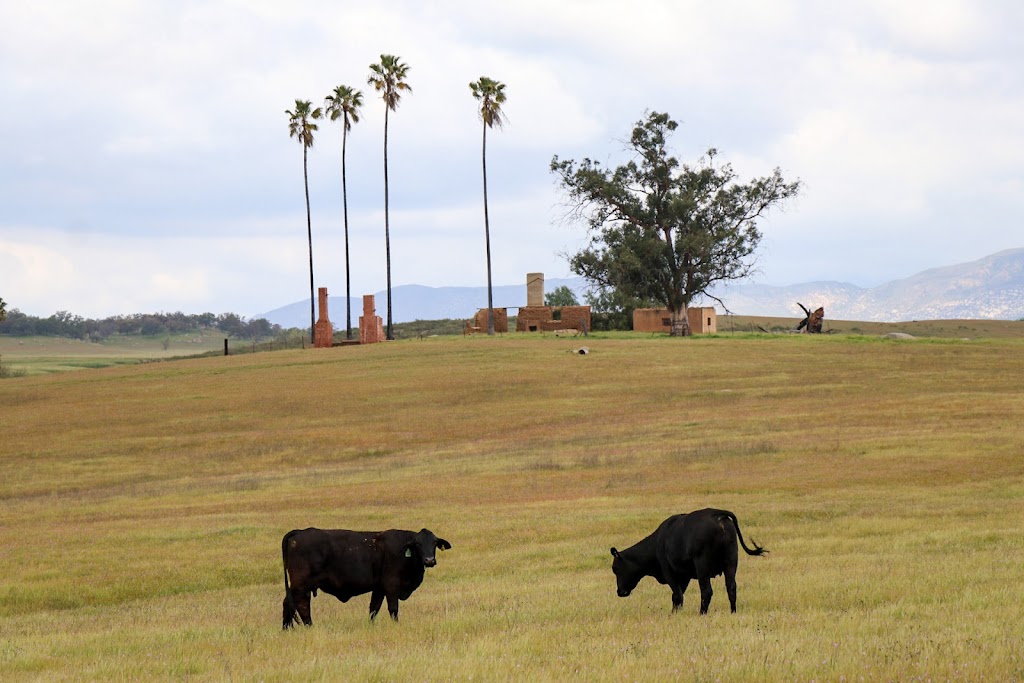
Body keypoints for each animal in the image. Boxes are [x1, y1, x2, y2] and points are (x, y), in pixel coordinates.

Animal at [282, 528, 454, 630]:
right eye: (418, 544)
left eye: (434, 543)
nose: (430, 560)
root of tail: (300, 532)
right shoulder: (391, 586)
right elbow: (393, 608)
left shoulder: (379, 588)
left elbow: (373, 609)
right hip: (301, 585)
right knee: (301, 605)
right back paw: (309, 627)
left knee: (288, 604)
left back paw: (286, 629)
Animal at [606, 507, 770, 614]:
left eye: (615, 569)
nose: (620, 592)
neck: (658, 542)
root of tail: (716, 514)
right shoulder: (684, 577)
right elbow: (678, 596)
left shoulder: (669, 573)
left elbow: (677, 594)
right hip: (731, 561)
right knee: (731, 587)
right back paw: (733, 611)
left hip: (702, 565)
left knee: (707, 591)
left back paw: (702, 613)